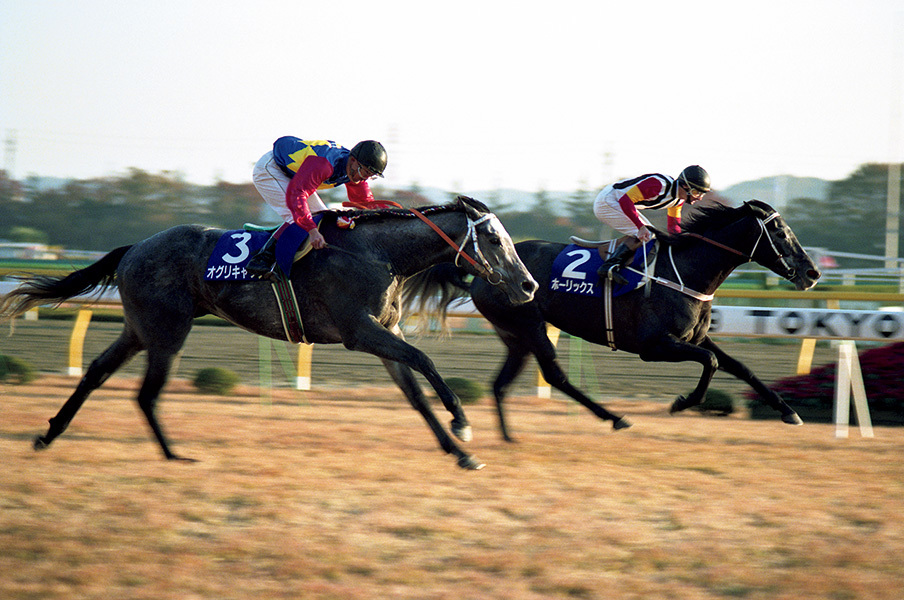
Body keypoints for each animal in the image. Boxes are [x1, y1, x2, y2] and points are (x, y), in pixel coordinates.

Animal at [0, 197, 536, 468]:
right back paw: (174, 454)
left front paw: (460, 453)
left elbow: (415, 395)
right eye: (493, 239)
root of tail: (133, 248)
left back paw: (49, 435)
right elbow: (424, 361)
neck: (376, 253)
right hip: (167, 330)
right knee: (147, 392)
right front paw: (461, 422)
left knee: (96, 372)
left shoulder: (384, 335)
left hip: (138, 328)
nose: (528, 285)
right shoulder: (359, 332)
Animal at [406, 200, 824, 440]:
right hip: (529, 326)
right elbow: (712, 363)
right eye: (778, 231)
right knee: (556, 376)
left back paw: (509, 437)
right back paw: (614, 417)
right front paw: (682, 403)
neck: (686, 272)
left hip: (515, 335)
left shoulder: (695, 337)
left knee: (500, 383)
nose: (813, 272)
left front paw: (788, 411)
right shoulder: (654, 346)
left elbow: (739, 366)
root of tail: (481, 273)